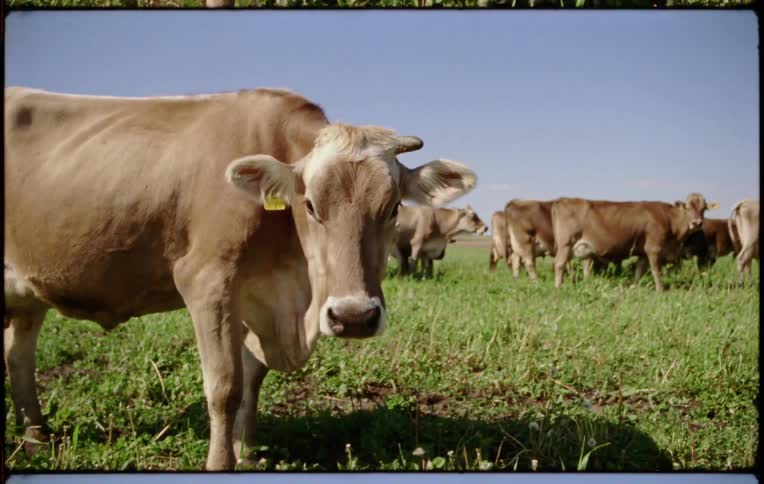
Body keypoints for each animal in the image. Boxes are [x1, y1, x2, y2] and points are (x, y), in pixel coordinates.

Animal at [3, 86, 477, 470]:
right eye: (309, 204)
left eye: (394, 206)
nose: (354, 316)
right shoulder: (208, 284)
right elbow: (224, 386)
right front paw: (220, 462)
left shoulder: (255, 297)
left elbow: (252, 378)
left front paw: (246, 452)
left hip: (27, 293)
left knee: (18, 354)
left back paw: (36, 435)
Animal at [550, 193, 718, 292]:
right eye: (688, 207)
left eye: (704, 208)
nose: (697, 223)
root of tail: (563, 200)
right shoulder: (653, 248)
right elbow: (656, 271)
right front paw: (660, 290)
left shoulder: (643, 253)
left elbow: (639, 271)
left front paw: (632, 287)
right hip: (566, 243)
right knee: (559, 264)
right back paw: (558, 287)